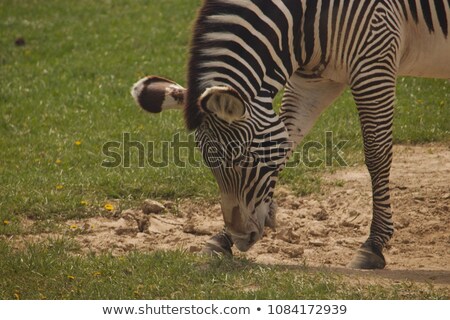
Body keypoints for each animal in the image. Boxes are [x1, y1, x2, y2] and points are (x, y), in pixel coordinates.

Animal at [131, 0, 450, 268]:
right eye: (210, 165)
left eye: (244, 161)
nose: (241, 237)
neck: (305, 20)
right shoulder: (314, 79)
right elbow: (288, 137)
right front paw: (224, 238)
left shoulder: (375, 61)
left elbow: (377, 155)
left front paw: (373, 244)